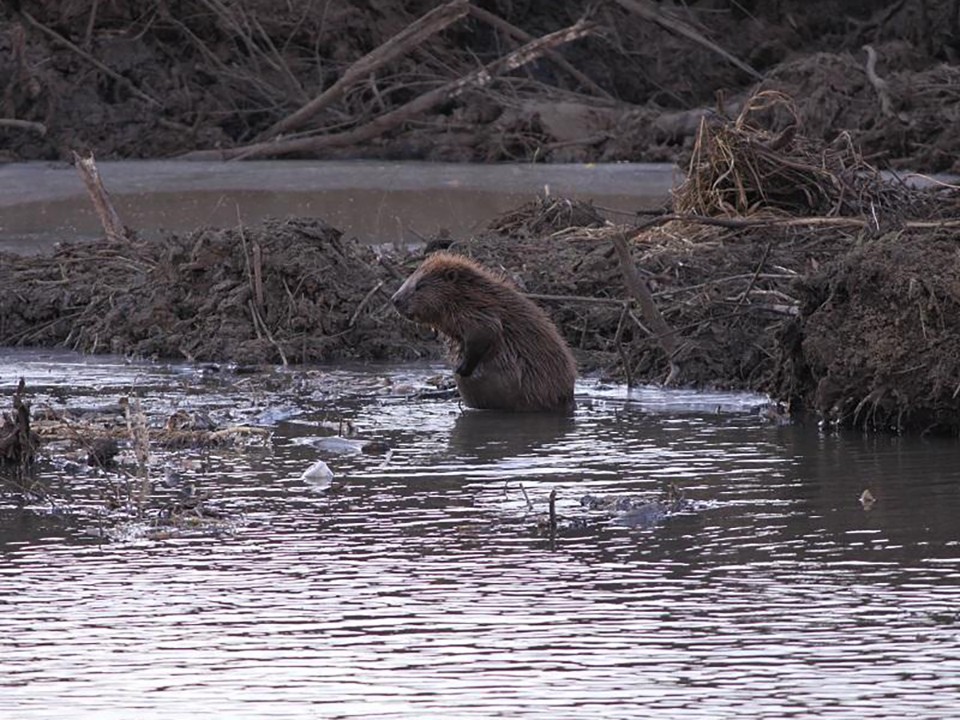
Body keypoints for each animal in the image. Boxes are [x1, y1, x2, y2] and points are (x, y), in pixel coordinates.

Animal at [392, 252, 576, 410]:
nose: (395, 300)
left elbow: (485, 333)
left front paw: (460, 369)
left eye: (420, 286)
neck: (469, 295)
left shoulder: (480, 312)